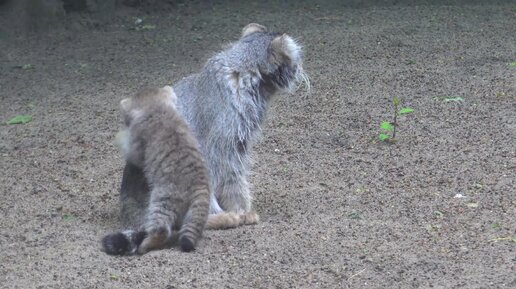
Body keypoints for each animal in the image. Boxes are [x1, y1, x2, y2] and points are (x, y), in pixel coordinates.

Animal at [119, 23, 308, 230]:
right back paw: (220, 218)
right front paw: (241, 210)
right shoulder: (226, 145)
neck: (245, 72)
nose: (301, 69)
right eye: (297, 59)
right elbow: (234, 180)